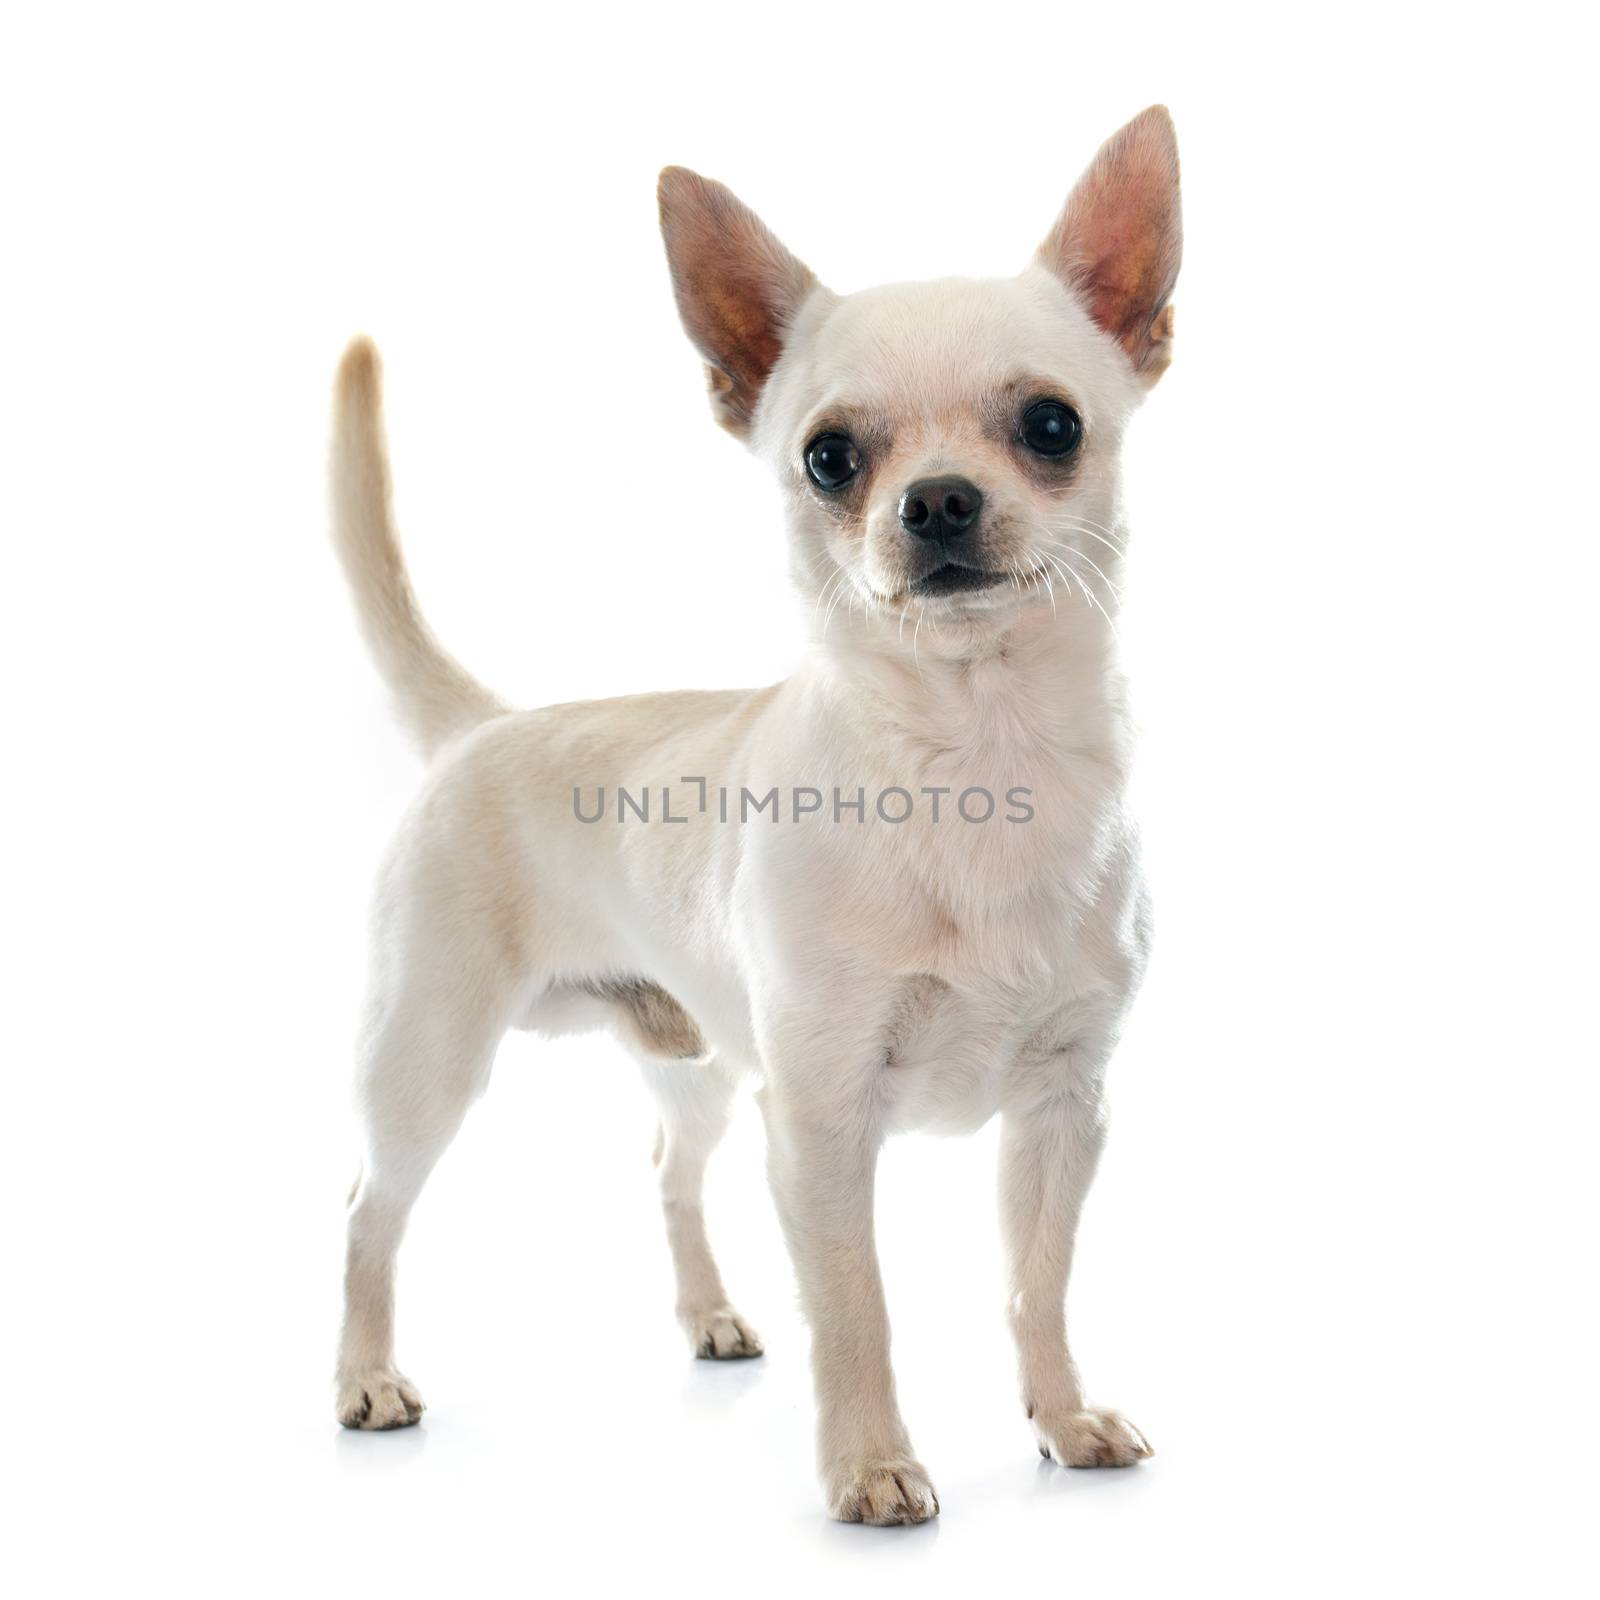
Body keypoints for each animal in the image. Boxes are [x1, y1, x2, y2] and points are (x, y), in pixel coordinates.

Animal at [331, 103, 1177, 1523]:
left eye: (1053, 426)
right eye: (829, 457)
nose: (936, 500)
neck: (974, 758)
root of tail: (484, 725)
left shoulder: (1064, 1111)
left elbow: (1035, 1284)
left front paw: (1060, 1417)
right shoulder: (822, 1122)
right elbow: (857, 1308)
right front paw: (873, 1465)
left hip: (700, 1065)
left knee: (668, 1170)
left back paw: (710, 1316)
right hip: (428, 1066)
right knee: (366, 1206)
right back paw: (366, 1378)